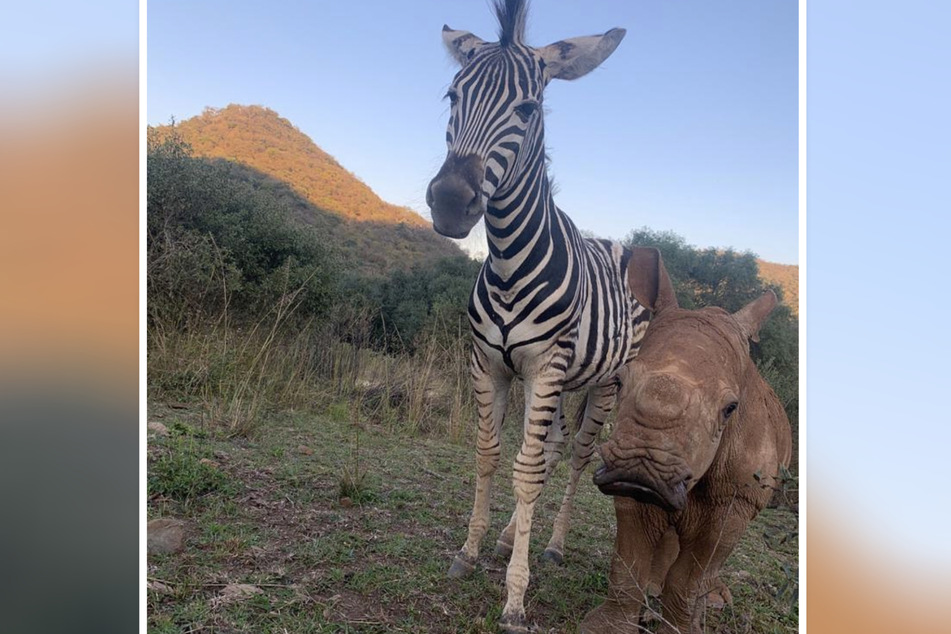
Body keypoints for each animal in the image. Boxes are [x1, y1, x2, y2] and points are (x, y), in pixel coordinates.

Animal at [426, 2, 656, 628]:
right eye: (451, 95)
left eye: (527, 109)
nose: (450, 202)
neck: (508, 259)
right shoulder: (490, 364)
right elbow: (490, 455)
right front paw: (471, 550)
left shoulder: (545, 365)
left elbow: (526, 471)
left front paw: (514, 597)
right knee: (550, 452)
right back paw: (511, 537)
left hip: (604, 384)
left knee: (573, 458)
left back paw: (550, 545)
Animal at [584, 247, 792, 632]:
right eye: (618, 382)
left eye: (730, 409)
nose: (641, 468)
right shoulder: (625, 481)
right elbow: (628, 562)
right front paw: (606, 627)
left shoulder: (739, 498)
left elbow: (690, 576)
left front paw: (683, 625)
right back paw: (655, 592)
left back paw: (710, 603)